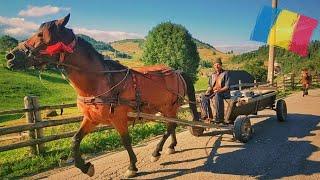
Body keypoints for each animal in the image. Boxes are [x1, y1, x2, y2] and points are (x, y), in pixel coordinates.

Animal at [6, 13, 199, 177]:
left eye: (41, 35)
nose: (10, 56)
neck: (99, 82)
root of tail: (176, 71)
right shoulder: (91, 119)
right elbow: (75, 140)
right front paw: (85, 167)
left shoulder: (119, 119)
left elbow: (126, 141)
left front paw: (132, 167)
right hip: (166, 109)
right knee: (172, 126)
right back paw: (171, 146)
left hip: (170, 107)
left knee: (169, 127)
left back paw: (156, 151)